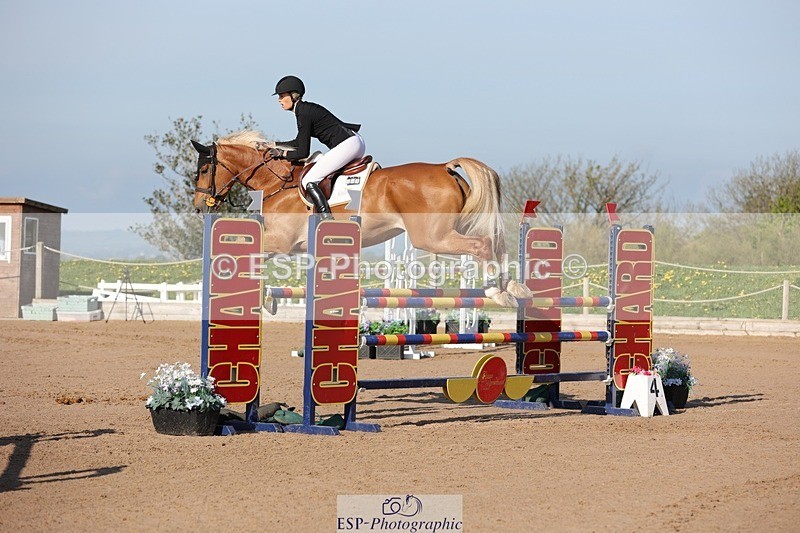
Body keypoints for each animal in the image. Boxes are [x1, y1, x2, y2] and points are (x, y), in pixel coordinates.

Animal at [191, 130, 531, 305]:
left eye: (204, 169)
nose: (198, 206)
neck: (278, 183)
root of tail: (444, 167)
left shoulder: (281, 242)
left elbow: (247, 253)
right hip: (455, 226)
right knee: (497, 242)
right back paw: (514, 288)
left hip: (433, 237)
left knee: (482, 245)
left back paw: (497, 291)